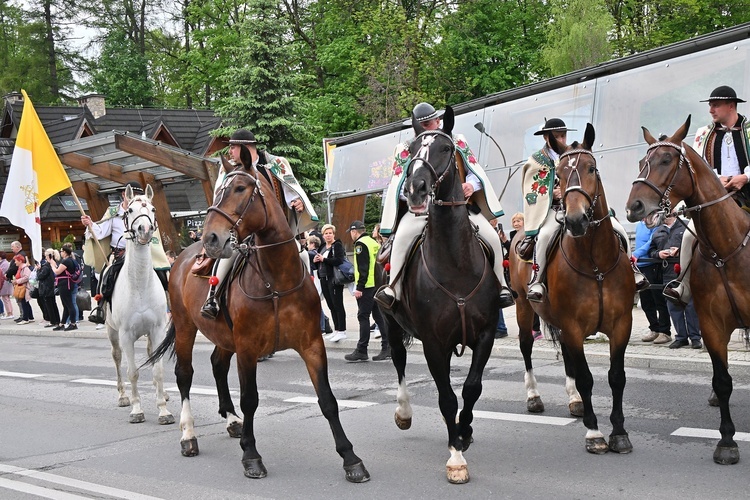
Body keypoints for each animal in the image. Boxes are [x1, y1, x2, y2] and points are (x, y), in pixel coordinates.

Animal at [106, 184, 176, 426]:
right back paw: (122, 396)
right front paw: (137, 410)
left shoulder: (157, 330)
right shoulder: (126, 335)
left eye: (153, 209)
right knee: (117, 359)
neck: (139, 285)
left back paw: (163, 394)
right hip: (112, 333)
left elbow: (158, 370)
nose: (145, 230)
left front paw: (164, 410)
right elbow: (133, 372)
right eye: (129, 210)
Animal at [145, 162, 372, 482]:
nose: (210, 238)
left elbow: (327, 400)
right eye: (219, 189)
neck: (277, 281)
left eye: (240, 188)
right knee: (184, 374)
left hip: (224, 336)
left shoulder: (311, 345)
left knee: (217, 365)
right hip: (186, 327)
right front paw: (251, 455)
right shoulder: (248, 348)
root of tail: (180, 259)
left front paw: (350, 458)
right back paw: (188, 434)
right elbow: (250, 399)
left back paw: (230, 419)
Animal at [378, 106, 502, 484]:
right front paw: (456, 457)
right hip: (391, 323)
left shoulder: (485, 334)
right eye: (412, 149)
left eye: (446, 148)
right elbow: (447, 398)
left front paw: (465, 432)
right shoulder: (435, 343)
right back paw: (404, 412)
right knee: (399, 361)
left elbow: (472, 389)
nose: (416, 189)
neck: (455, 264)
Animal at [508, 123, 636, 456]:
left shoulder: (621, 325)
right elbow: (587, 378)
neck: (596, 264)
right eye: (561, 176)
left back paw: (574, 401)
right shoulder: (574, 326)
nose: (577, 220)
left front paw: (619, 433)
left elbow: (616, 377)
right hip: (524, 308)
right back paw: (534, 397)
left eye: (592, 168)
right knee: (526, 347)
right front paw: (594, 433)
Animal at [624, 117, 750, 464]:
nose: (634, 207)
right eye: (641, 163)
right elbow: (722, 381)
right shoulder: (712, 325)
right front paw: (727, 442)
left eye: (667, 160)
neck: (727, 250)